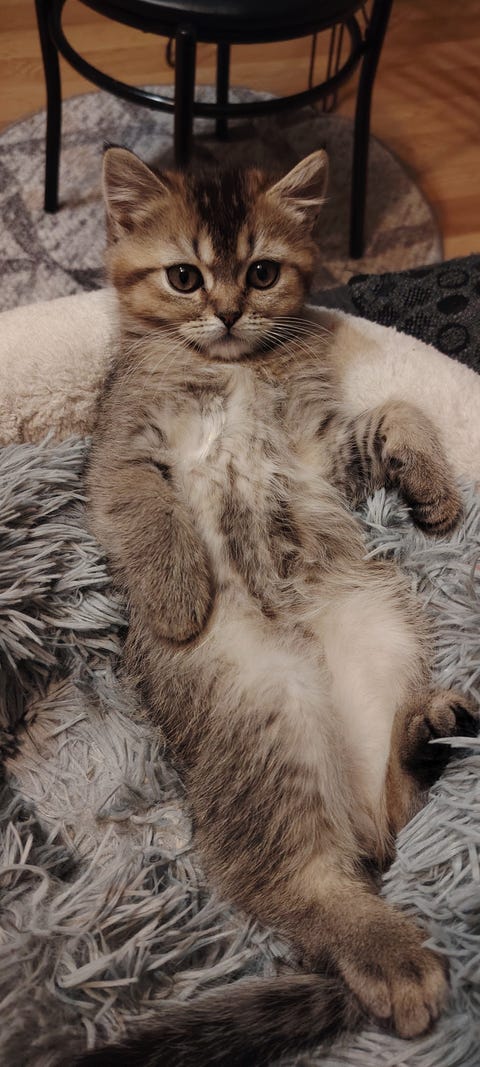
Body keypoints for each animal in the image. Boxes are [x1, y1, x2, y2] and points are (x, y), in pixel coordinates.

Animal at [78, 146, 478, 1066]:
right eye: (185, 276)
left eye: (261, 272)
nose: (227, 312)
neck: (232, 370)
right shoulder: (117, 453)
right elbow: (146, 505)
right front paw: (177, 591)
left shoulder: (322, 451)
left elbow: (395, 410)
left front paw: (435, 490)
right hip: (265, 715)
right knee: (296, 881)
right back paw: (393, 955)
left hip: (382, 639)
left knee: (391, 823)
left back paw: (430, 733)